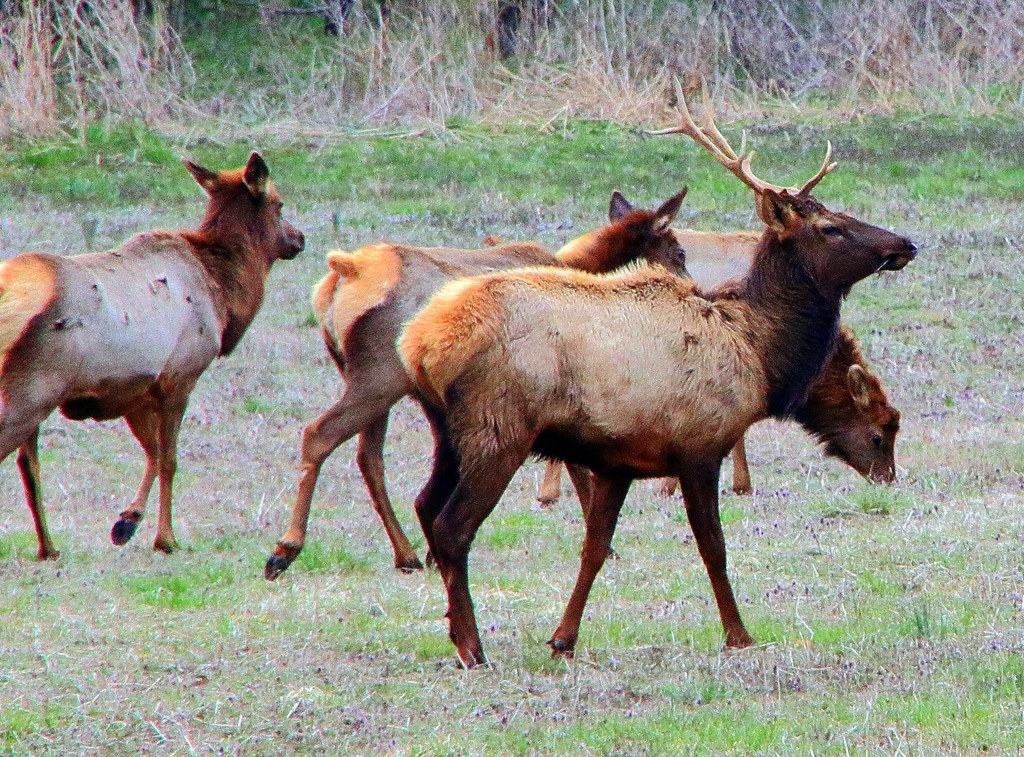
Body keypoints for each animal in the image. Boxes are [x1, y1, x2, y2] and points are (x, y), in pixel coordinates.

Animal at [0, 152, 304, 559]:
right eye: (279, 203)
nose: (299, 237)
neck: (223, 295)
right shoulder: (181, 375)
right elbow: (170, 459)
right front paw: (166, 538)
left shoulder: (137, 389)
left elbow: (153, 454)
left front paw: (126, 521)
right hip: (32, 388)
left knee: (28, 465)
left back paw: (48, 547)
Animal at [263, 190, 690, 580]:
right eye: (680, 252)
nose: (692, 291)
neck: (581, 268)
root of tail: (344, 271)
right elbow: (577, 466)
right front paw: (606, 544)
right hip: (379, 376)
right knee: (319, 434)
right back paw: (285, 549)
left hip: (361, 376)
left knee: (368, 456)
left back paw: (407, 554)